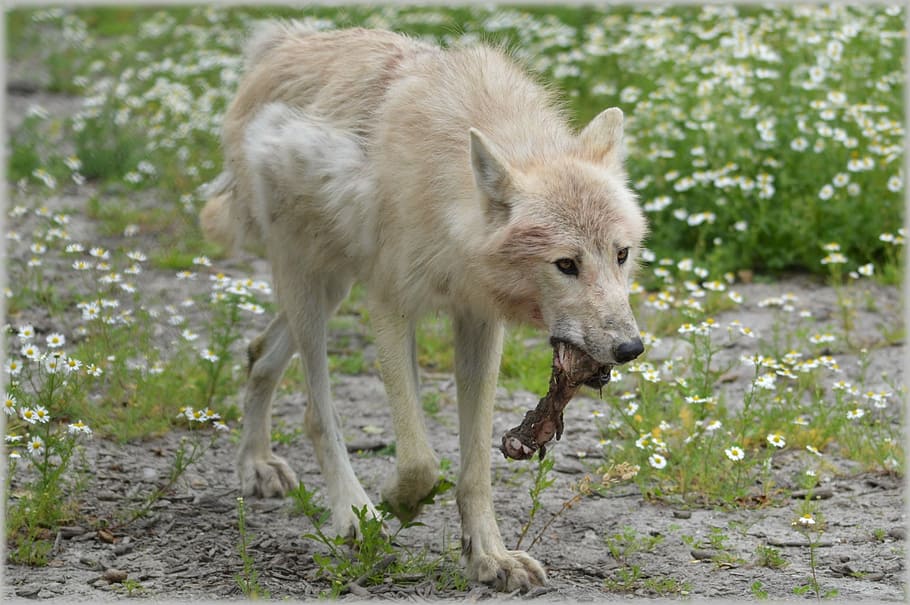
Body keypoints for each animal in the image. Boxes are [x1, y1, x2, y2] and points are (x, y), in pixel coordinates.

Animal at [200, 22, 647, 592]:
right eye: (566, 264)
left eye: (621, 255)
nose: (630, 347)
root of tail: (279, 43)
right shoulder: (390, 305)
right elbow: (420, 460)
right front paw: (399, 503)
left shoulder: (479, 322)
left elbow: (475, 466)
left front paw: (490, 557)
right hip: (311, 283)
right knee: (317, 412)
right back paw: (351, 514)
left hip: (331, 287)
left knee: (259, 353)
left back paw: (256, 465)